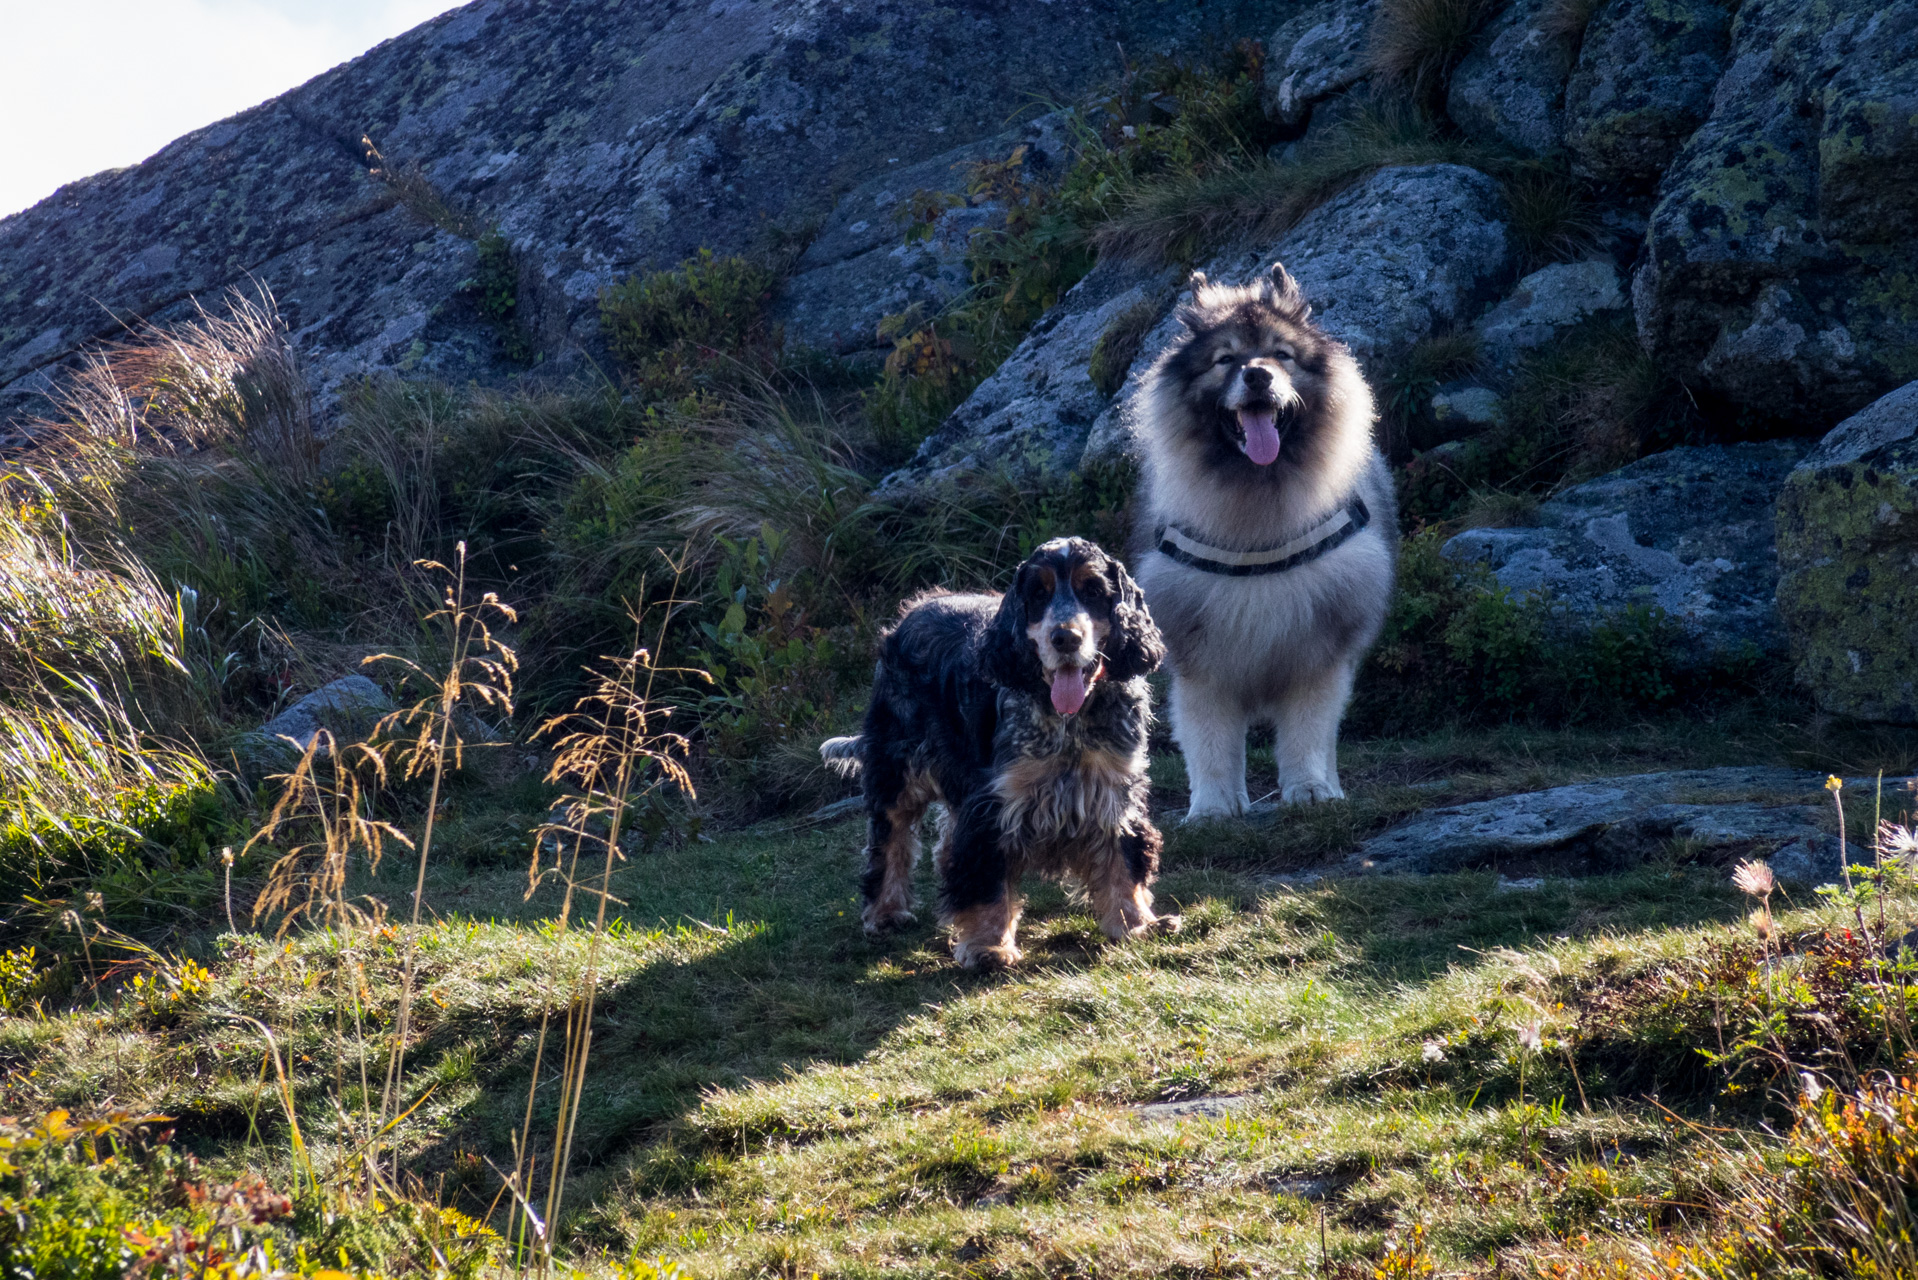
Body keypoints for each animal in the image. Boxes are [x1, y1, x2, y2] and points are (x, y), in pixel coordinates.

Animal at [1135, 264, 1396, 817]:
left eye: (1281, 354)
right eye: (1226, 359)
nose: (1258, 375)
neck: (1257, 520)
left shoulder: (1318, 652)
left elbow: (1308, 734)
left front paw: (1310, 790)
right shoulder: (1200, 659)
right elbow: (1209, 741)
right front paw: (1213, 808)